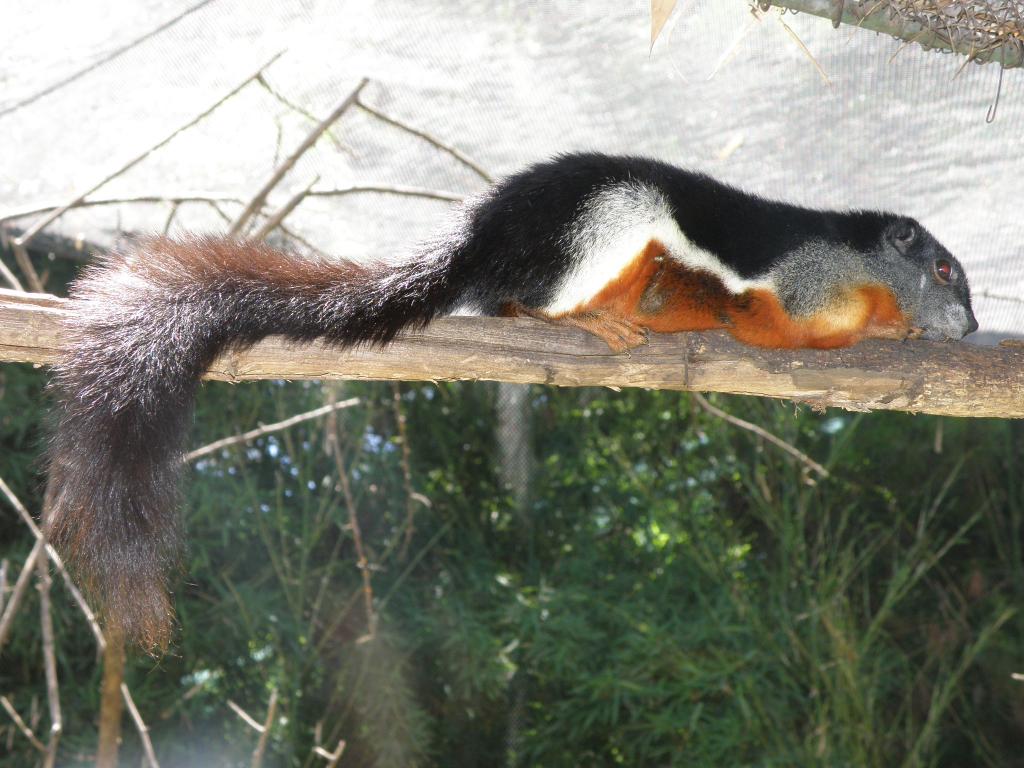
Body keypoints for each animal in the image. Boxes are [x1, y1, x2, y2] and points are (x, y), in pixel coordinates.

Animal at [46, 151, 974, 651]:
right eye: (944, 270)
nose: (968, 325)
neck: (859, 259)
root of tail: (477, 239)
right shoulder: (806, 282)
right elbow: (805, 329)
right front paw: (896, 332)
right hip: (597, 230)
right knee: (519, 303)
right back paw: (589, 320)